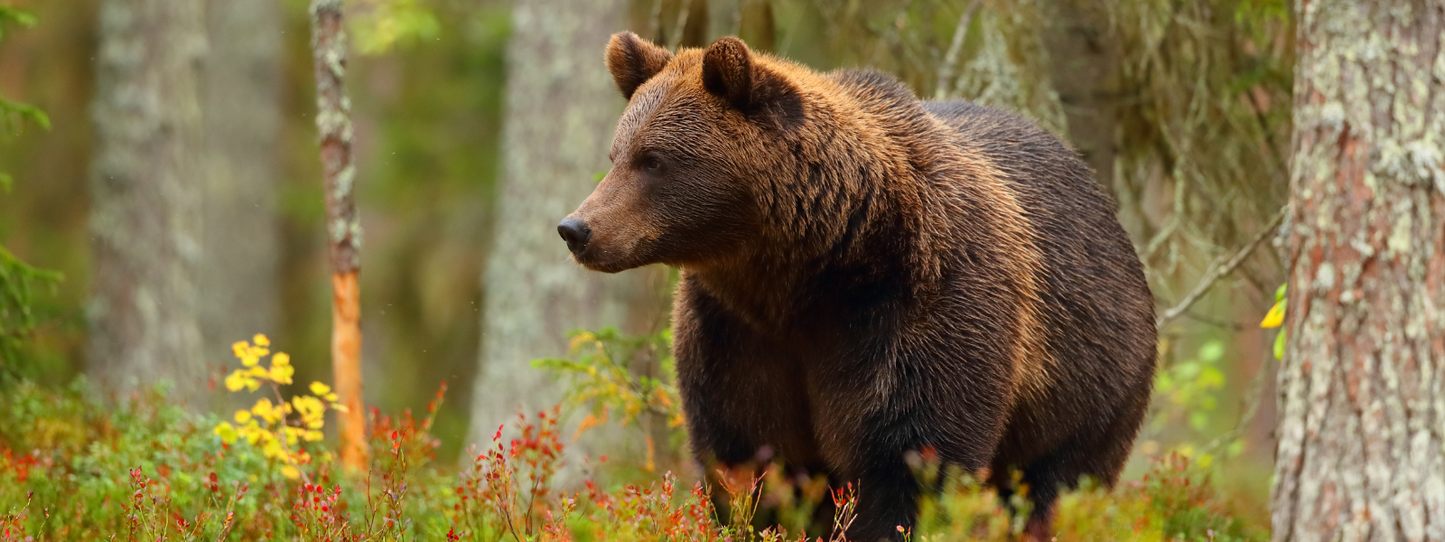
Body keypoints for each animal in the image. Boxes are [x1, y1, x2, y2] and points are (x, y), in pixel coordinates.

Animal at [557, 32, 1157, 542]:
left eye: (653, 160)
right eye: (616, 154)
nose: (576, 228)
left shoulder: (918, 307)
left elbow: (908, 458)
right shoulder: (736, 331)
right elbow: (748, 456)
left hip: (1086, 385)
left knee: (1051, 488)